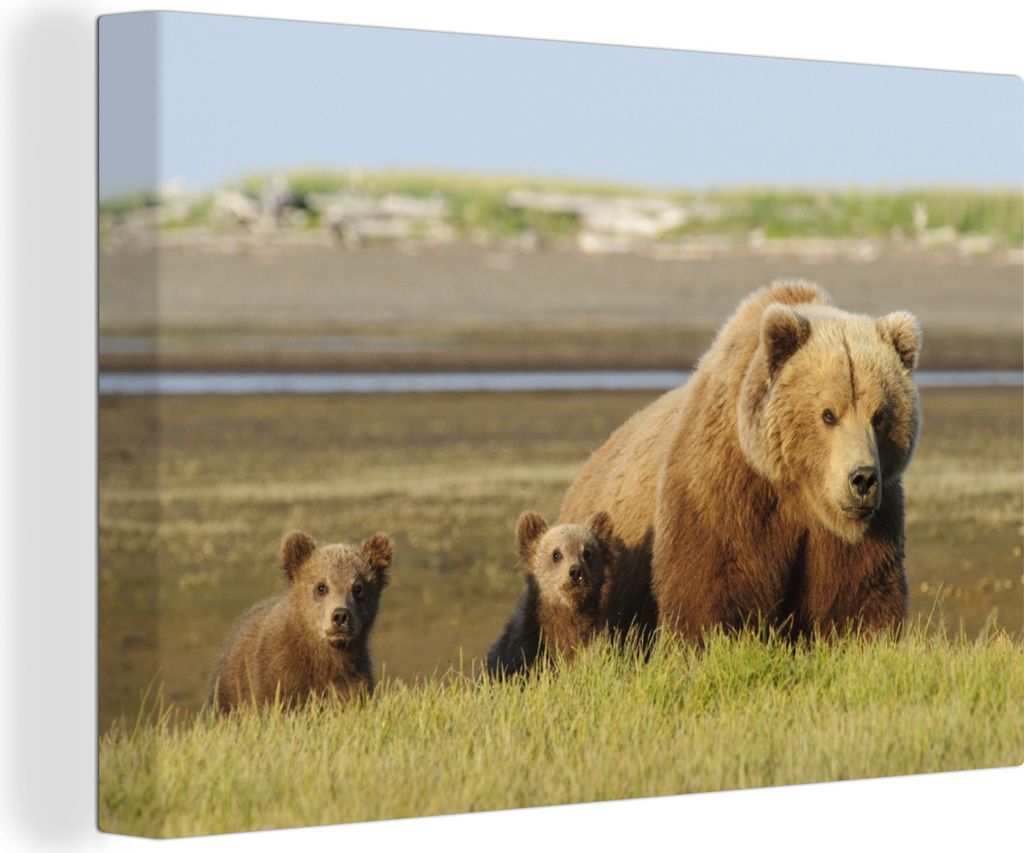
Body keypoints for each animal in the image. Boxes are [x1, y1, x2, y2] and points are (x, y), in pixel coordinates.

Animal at [559, 279, 920, 643]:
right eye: (828, 414)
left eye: (880, 415)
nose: (862, 478)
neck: (801, 496)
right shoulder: (726, 492)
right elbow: (711, 588)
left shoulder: (868, 527)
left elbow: (859, 600)